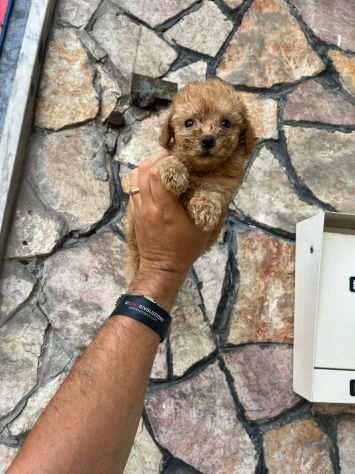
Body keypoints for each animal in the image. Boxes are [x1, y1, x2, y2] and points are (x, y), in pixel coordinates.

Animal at [124, 79, 256, 284]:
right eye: (189, 123)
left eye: (225, 123)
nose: (208, 140)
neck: (200, 169)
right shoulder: (164, 156)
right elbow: (170, 159)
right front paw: (174, 174)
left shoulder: (225, 182)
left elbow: (212, 190)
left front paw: (205, 210)